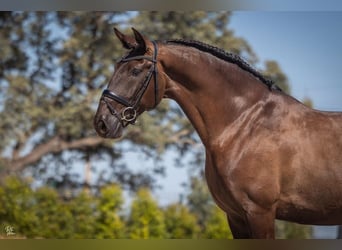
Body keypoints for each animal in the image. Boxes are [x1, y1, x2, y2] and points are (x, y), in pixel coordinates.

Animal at [93, 27, 342, 238]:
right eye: (115, 68)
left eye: (135, 71)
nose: (101, 123)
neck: (244, 123)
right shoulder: (236, 217)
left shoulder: (260, 213)